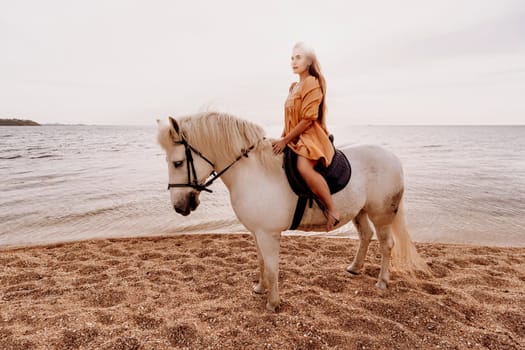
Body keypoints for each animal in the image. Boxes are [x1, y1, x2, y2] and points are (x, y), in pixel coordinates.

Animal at [156, 110, 426, 310]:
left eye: (178, 162)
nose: (179, 206)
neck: (253, 172)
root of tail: (393, 158)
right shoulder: (257, 232)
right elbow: (262, 262)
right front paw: (260, 289)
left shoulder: (268, 234)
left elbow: (272, 266)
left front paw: (272, 304)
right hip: (359, 212)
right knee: (365, 236)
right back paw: (355, 268)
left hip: (381, 215)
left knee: (386, 244)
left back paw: (382, 282)